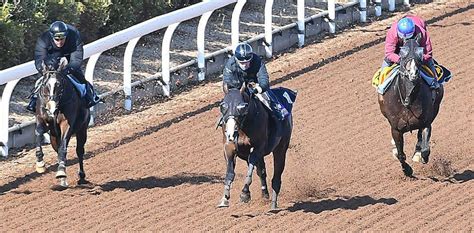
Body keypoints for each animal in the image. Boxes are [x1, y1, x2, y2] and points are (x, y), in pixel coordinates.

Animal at [34, 58, 91, 187]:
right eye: (45, 84)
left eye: (59, 84)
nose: (51, 106)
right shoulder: (42, 119)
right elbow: (38, 133)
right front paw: (40, 164)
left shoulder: (66, 123)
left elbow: (63, 148)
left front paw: (61, 172)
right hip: (54, 137)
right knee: (57, 149)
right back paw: (63, 180)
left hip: (82, 129)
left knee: (79, 151)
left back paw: (80, 176)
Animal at [378, 35, 444, 177]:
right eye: (402, 53)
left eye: (420, 53)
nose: (413, 73)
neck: (408, 101)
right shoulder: (396, 129)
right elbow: (401, 154)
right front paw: (407, 170)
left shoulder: (426, 122)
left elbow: (425, 148)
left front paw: (421, 156)